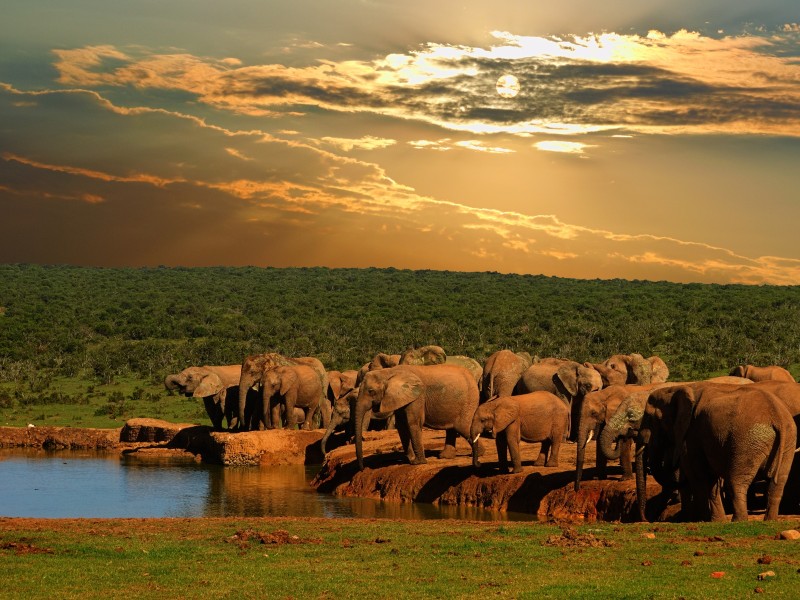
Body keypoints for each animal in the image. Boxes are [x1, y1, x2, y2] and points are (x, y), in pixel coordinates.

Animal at [631, 382, 796, 522]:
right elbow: (708, 479)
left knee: (736, 482)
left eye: (651, 419)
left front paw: (706, 520)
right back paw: (770, 520)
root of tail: (778, 417)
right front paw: (717, 521)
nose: (646, 520)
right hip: (788, 440)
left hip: (747, 441)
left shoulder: (692, 434)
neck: (678, 388)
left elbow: (699, 475)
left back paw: (738, 521)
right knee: (778, 483)